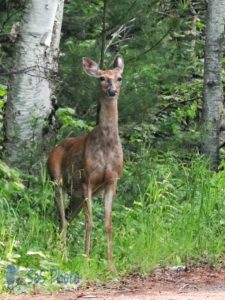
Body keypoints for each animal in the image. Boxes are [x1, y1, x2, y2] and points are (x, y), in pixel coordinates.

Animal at [47, 56, 124, 270]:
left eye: (119, 78)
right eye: (102, 78)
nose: (112, 91)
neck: (106, 146)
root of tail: (54, 149)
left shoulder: (111, 181)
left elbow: (108, 223)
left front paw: (111, 265)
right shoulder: (87, 179)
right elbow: (90, 222)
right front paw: (86, 260)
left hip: (77, 196)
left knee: (65, 218)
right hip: (57, 181)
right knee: (63, 219)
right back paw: (63, 257)